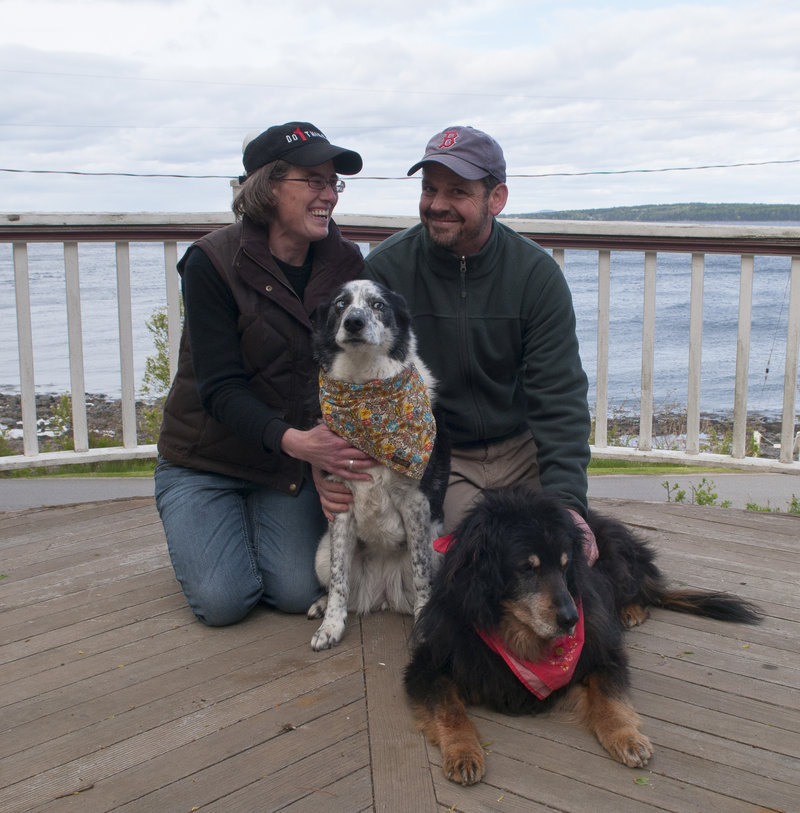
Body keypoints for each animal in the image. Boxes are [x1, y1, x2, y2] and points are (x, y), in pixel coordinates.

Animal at [308, 278, 450, 648]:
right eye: (341, 304)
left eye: (378, 305)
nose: (354, 323)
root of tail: (383, 594)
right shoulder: (341, 505)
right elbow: (339, 579)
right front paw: (331, 626)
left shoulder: (416, 503)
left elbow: (421, 574)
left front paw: (423, 624)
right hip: (320, 552)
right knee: (337, 583)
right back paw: (321, 605)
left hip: (442, 548)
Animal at [406, 486, 764, 784]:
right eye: (527, 568)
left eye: (566, 565)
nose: (571, 620)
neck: (517, 635)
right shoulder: (428, 664)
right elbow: (449, 709)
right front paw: (464, 752)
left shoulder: (603, 650)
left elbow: (609, 696)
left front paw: (626, 737)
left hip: (617, 561)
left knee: (642, 592)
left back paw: (631, 610)